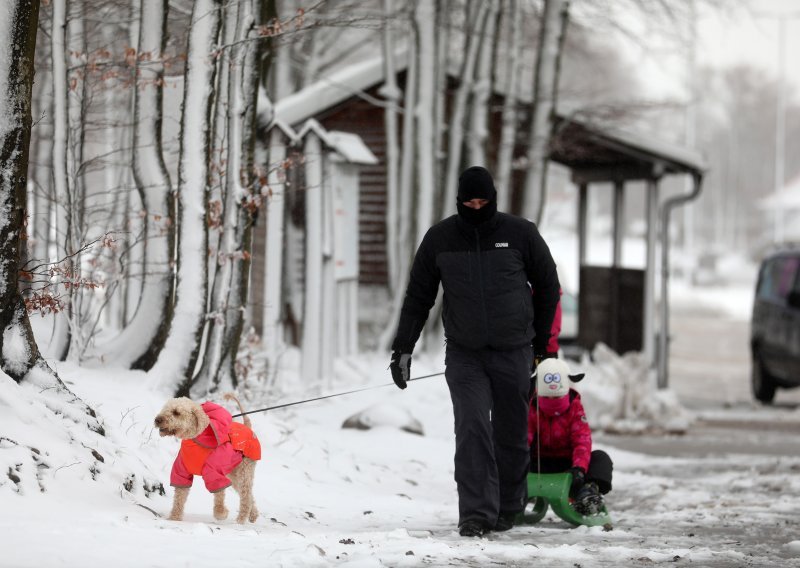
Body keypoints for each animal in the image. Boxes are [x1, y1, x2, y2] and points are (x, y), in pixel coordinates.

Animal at [153, 390, 260, 524]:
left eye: (176, 412)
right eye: (165, 409)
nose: (157, 420)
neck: (195, 440)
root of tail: (248, 427)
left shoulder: (213, 471)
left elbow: (219, 494)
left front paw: (221, 513)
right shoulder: (181, 471)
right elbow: (179, 497)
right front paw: (174, 518)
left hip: (244, 472)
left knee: (246, 496)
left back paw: (241, 519)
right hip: (234, 474)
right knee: (249, 496)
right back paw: (253, 515)